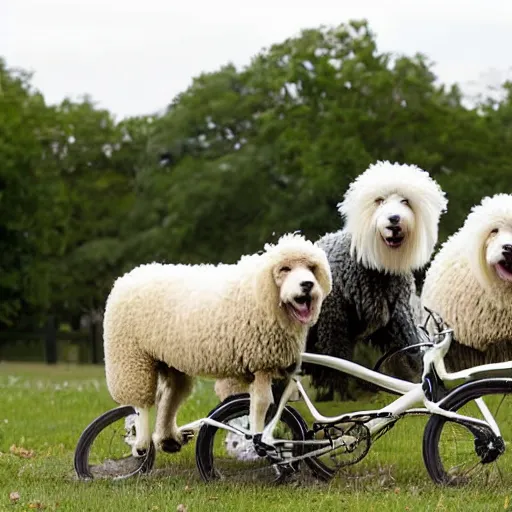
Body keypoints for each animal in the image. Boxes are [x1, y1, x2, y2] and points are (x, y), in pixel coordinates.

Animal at [103, 234, 332, 454]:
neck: (262, 294)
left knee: (170, 397)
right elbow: (261, 403)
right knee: (140, 403)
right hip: (131, 357)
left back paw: (168, 439)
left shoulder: (271, 367)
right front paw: (258, 437)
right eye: (284, 269)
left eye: (312, 268)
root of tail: (130, 275)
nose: (308, 285)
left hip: (170, 361)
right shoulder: (262, 363)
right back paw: (141, 444)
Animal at [304, 163, 448, 400]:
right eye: (379, 201)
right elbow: (335, 366)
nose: (394, 219)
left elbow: (411, 356)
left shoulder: (400, 320)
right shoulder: (333, 327)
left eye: (405, 201)